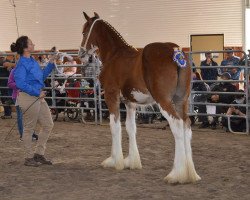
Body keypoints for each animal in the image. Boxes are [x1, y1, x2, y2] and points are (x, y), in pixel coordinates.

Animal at [79, 12, 202, 184]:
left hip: (164, 101)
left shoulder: (111, 96)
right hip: (181, 101)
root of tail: (176, 51)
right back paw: (191, 173)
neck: (114, 55)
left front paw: (115, 161)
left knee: (177, 125)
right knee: (186, 125)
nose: (81, 53)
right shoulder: (130, 103)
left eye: (84, 32)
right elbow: (131, 127)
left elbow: (114, 126)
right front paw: (131, 161)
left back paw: (176, 174)